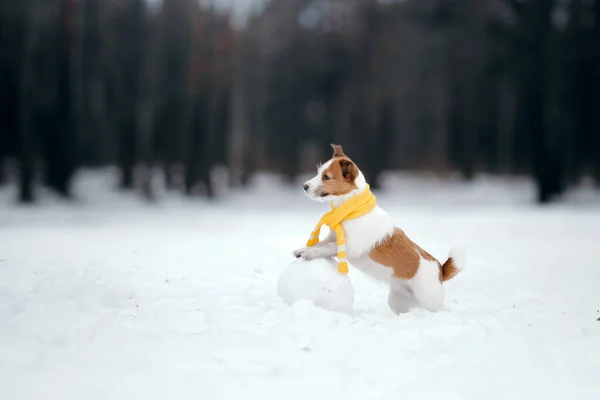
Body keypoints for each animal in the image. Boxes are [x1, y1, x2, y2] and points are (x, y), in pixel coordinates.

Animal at [292, 142, 466, 314]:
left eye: (326, 177)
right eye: (318, 172)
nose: (304, 186)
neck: (350, 210)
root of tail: (440, 270)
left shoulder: (351, 246)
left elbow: (327, 247)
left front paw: (309, 253)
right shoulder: (333, 237)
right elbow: (321, 243)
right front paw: (303, 249)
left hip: (429, 299)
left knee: (441, 308)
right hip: (398, 301)